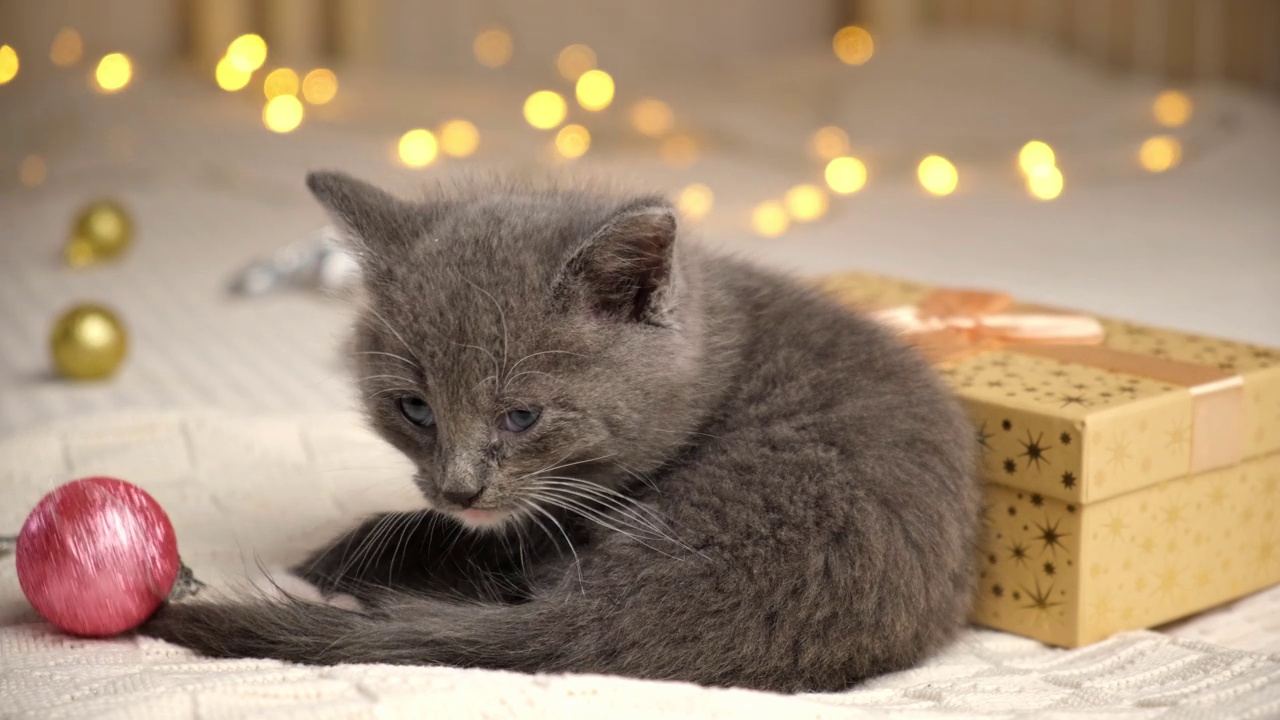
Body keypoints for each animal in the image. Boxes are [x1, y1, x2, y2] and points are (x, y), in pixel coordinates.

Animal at [142, 169, 977, 691]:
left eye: (522, 417)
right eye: (415, 409)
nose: (458, 489)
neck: (721, 347)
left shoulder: (539, 520)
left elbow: (430, 534)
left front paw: (317, 560)